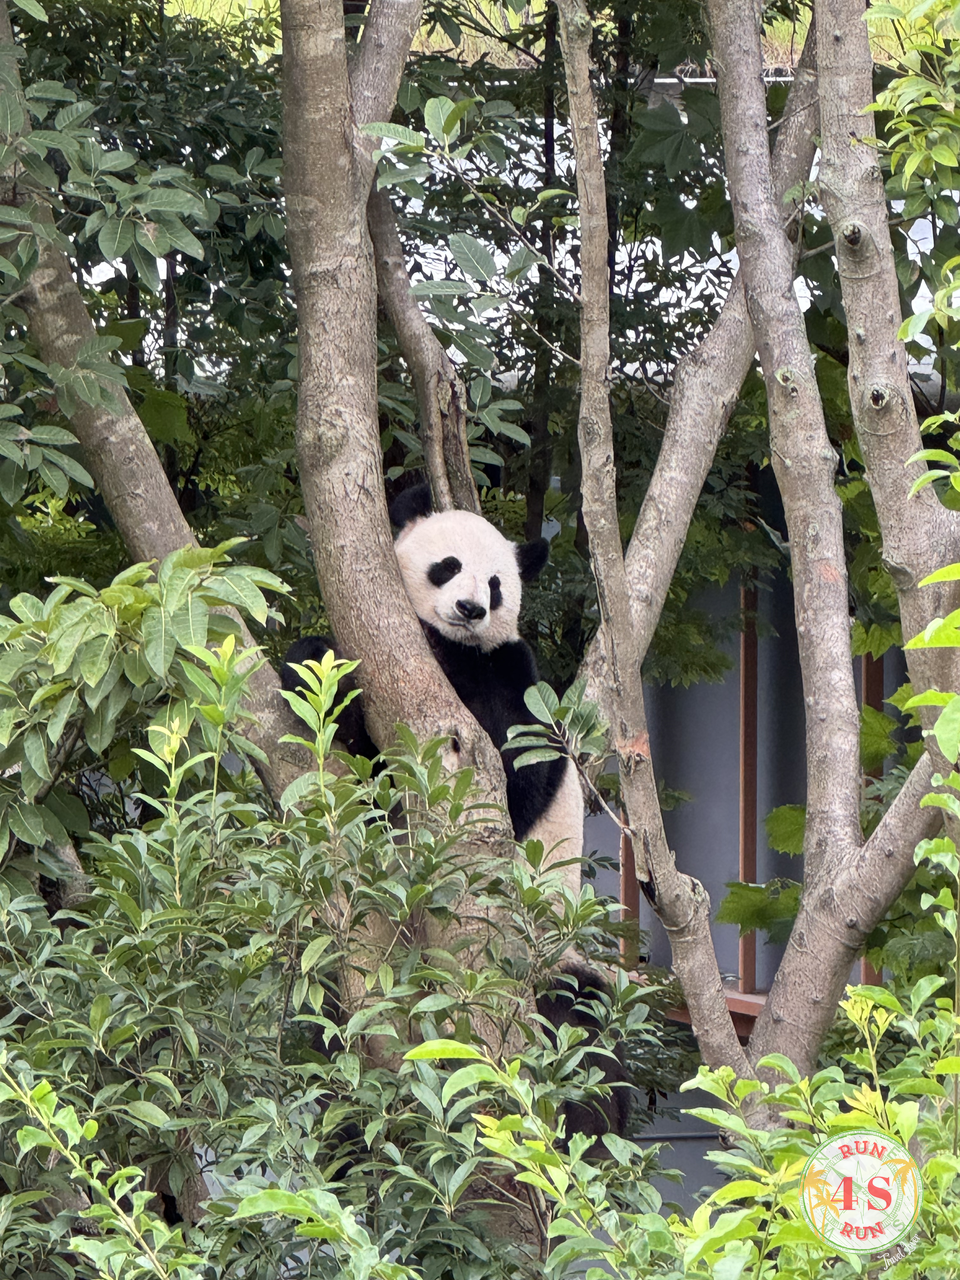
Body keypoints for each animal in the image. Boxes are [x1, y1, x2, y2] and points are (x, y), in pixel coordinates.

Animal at [282, 484, 584, 883]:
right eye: (449, 565)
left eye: (495, 585)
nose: (470, 608)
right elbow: (360, 748)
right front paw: (316, 666)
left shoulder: (511, 670)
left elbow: (519, 767)